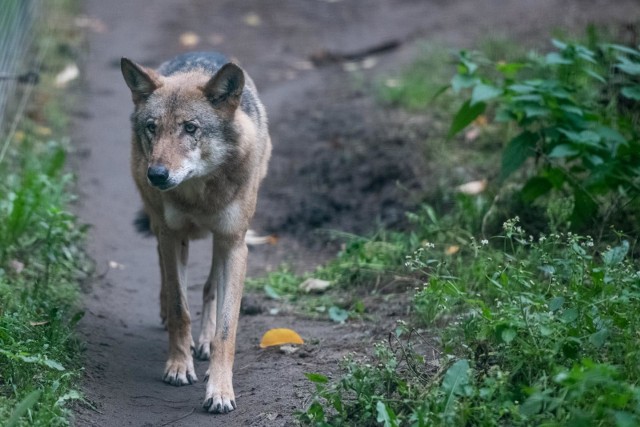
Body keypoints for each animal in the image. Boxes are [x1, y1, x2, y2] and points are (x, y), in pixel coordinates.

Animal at [119, 51, 270, 414]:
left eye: (190, 128)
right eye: (152, 127)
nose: (157, 175)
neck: (199, 194)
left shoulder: (234, 244)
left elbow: (226, 329)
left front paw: (220, 390)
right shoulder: (171, 236)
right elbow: (179, 308)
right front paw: (177, 366)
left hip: (219, 241)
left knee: (209, 287)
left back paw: (202, 343)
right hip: (163, 227)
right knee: (166, 273)